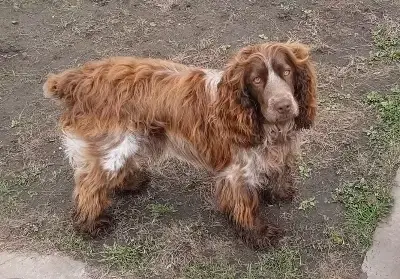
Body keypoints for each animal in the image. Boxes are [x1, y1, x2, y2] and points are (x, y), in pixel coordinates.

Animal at [43, 42, 318, 249]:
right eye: (257, 80)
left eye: (287, 72)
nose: (283, 105)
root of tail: (77, 79)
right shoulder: (237, 172)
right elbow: (246, 206)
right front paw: (259, 234)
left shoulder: (276, 154)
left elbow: (279, 172)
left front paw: (280, 193)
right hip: (113, 144)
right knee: (88, 186)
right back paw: (90, 224)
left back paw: (131, 183)